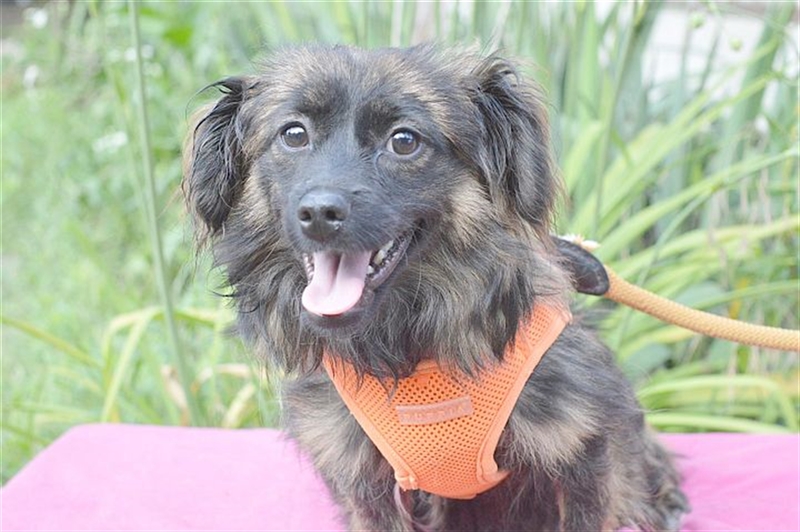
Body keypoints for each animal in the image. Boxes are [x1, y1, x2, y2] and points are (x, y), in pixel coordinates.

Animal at [183, 44, 688, 531]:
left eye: (404, 140)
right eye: (293, 134)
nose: (320, 214)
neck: (412, 349)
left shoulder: (582, 448)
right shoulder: (360, 478)